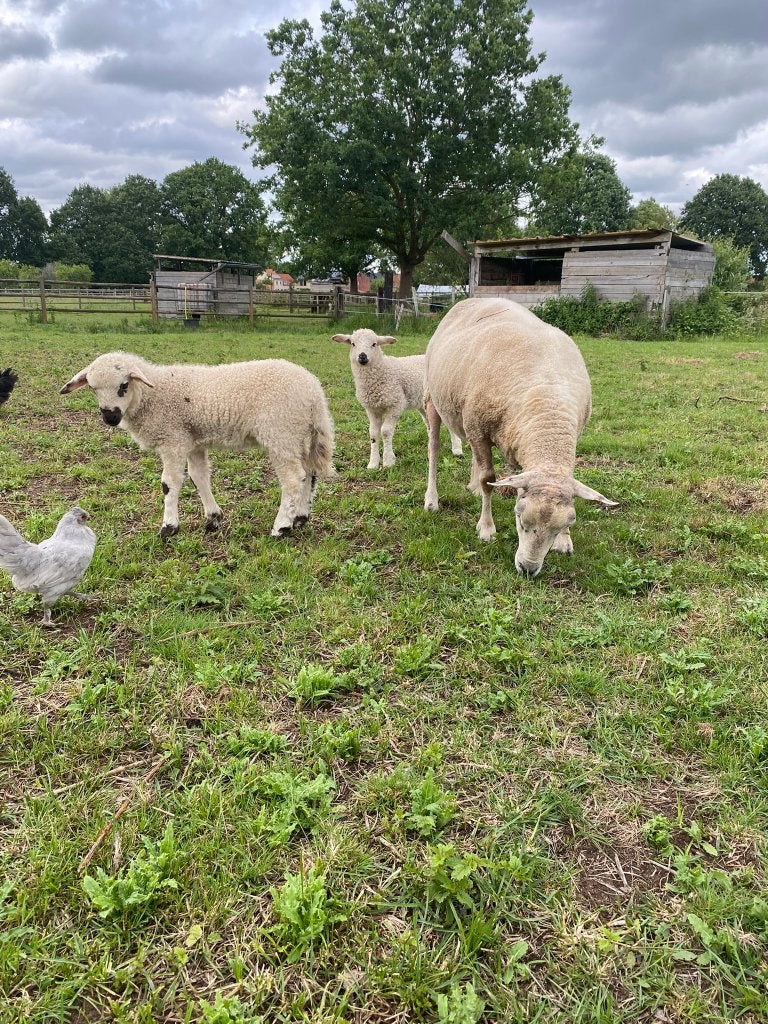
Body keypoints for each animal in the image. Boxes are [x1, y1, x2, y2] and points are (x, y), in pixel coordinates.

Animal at [60, 351, 335, 539]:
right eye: (93, 389)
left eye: (123, 385)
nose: (110, 418)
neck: (153, 394)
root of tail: (314, 391)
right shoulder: (192, 442)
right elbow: (199, 477)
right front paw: (213, 518)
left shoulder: (173, 440)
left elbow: (169, 484)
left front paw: (169, 527)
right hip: (298, 434)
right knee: (309, 473)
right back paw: (300, 517)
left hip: (280, 432)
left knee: (293, 478)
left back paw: (282, 527)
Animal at [332, 328, 462, 469]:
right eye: (353, 344)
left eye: (374, 344)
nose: (362, 356)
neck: (382, 371)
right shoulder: (371, 409)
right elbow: (373, 433)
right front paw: (373, 464)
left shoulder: (396, 404)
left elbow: (385, 431)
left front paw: (388, 461)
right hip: (422, 403)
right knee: (429, 425)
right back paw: (431, 450)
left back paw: (457, 449)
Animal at [423, 297, 617, 577]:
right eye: (519, 519)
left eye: (560, 527)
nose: (527, 569)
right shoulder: (479, 428)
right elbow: (488, 480)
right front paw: (486, 529)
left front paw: (565, 541)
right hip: (433, 399)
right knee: (434, 449)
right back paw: (431, 500)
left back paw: (471, 488)